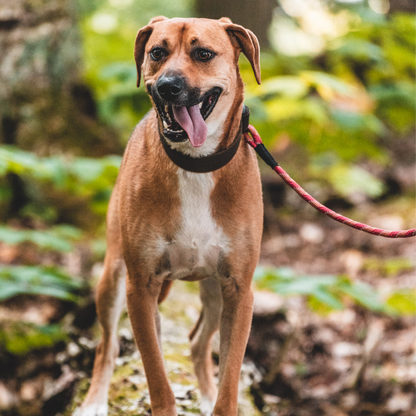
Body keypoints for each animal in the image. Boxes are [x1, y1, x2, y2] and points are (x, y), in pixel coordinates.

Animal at [75, 16, 264, 416]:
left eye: (203, 54)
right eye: (157, 53)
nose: (167, 87)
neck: (194, 164)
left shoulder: (239, 290)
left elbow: (230, 378)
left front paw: (218, 399)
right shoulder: (140, 286)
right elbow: (156, 374)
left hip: (214, 292)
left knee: (197, 342)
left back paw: (205, 394)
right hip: (113, 278)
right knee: (108, 346)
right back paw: (94, 401)